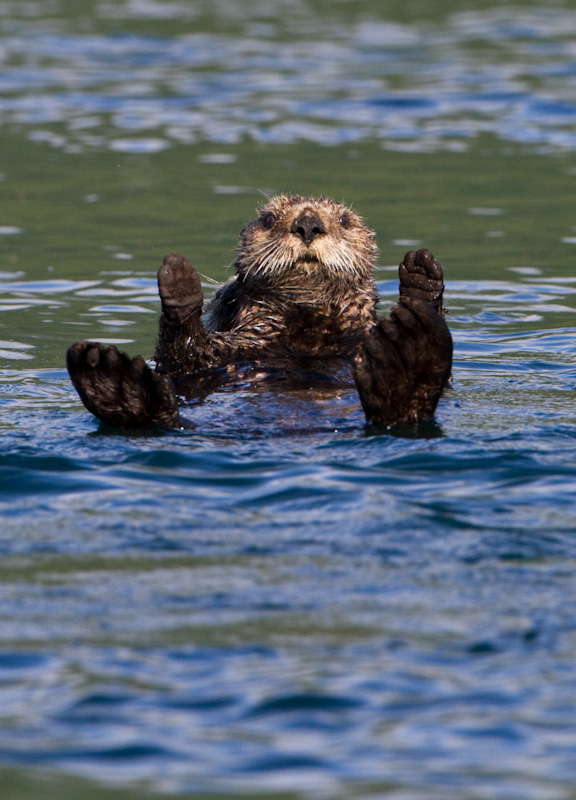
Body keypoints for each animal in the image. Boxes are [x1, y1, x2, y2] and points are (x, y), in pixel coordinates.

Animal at [67, 195, 452, 432]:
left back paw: (408, 355)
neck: (306, 332)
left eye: (344, 219)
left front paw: (421, 276)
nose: (308, 224)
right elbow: (184, 358)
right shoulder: (229, 349)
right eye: (268, 219)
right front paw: (179, 282)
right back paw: (115, 382)